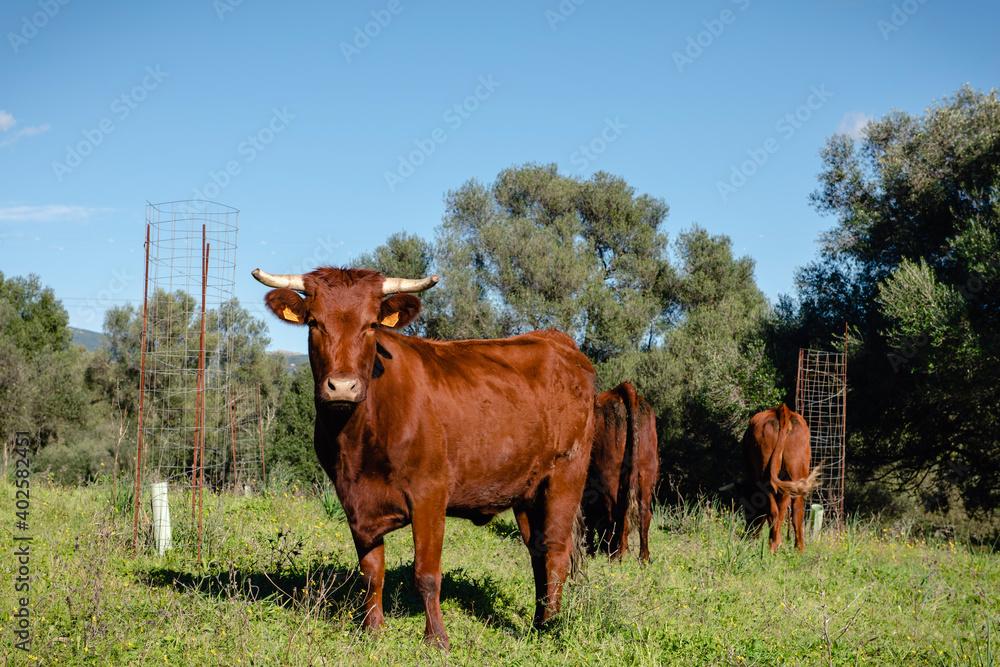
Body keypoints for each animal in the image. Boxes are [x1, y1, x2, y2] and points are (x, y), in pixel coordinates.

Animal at [252, 267, 597, 649]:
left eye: (372, 325)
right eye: (314, 323)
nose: (342, 387)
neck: (359, 439)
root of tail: (556, 340)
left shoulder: (429, 494)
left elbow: (426, 573)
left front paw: (437, 640)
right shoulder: (353, 501)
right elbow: (372, 572)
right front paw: (373, 630)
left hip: (566, 474)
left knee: (556, 550)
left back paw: (550, 626)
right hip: (527, 490)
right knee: (538, 552)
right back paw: (537, 621)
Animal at [581, 382, 659, 562]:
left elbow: (589, 520)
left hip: (610, 477)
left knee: (614, 513)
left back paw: (615, 555)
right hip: (646, 475)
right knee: (642, 513)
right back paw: (642, 557)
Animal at [736, 404, 820, 553]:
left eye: (747, 508)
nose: (748, 534)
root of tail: (782, 409)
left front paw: (777, 542)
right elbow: (783, 510)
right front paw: (780, 542)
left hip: (765, 475)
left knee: (773, 511)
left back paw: (772, 547)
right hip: (798, 473)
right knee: (797, 511)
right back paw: (799, 548)